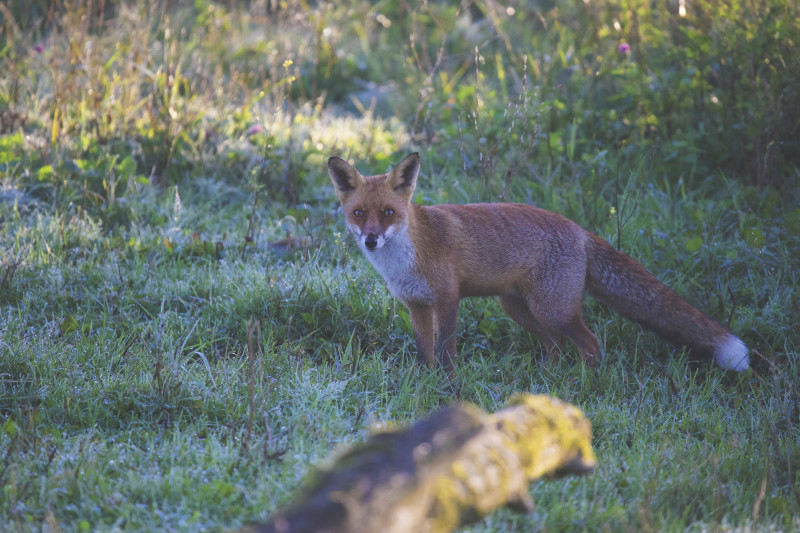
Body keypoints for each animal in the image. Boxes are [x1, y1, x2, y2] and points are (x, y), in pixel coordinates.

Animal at [326, 152, 752, 372]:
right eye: (360, 213)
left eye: (389, 213)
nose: (371, 239)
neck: (404, 259)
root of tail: (580, 230)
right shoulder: (416, 305)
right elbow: (423, 353)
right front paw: (424, 383)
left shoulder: (447, 300)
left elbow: (446, 352)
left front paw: (447, 387)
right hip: (521, 309)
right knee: (557, 348)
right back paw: (547, 385)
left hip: (552, 310)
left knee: (590, 345)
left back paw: (586, 386)